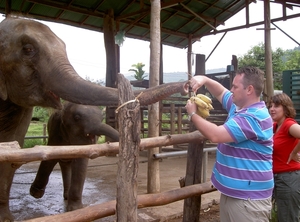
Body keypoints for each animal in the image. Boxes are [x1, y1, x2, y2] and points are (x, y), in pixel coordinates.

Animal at [0, 14, 189, 221]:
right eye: (27, 50)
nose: (187, 85)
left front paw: (75, 209)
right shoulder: (55, 129)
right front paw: (32, 197)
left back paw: (66, 197)